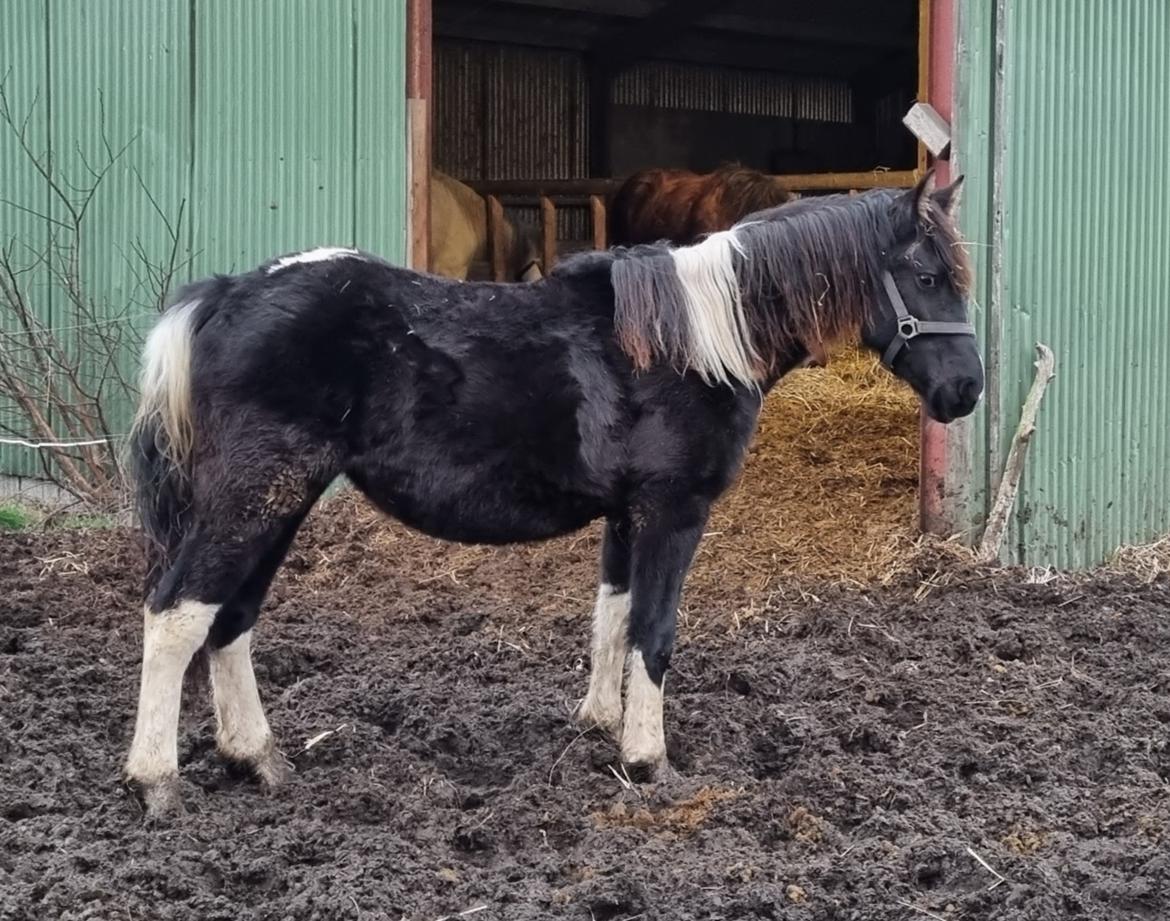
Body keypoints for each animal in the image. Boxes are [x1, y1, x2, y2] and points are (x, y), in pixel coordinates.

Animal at [123, 170, 978, 814]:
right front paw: (649, 759)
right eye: (927, 277)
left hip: (281, 502)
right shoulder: (673, 511)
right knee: (175, 616)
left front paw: (601, 725)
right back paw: (158, 779)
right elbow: (654, 632)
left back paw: (257, 758)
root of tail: (229, 292)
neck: (698, 340)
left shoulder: (626, 516)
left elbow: (613, 617)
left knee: (230, 618)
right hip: (256, 495)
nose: (966, 389)